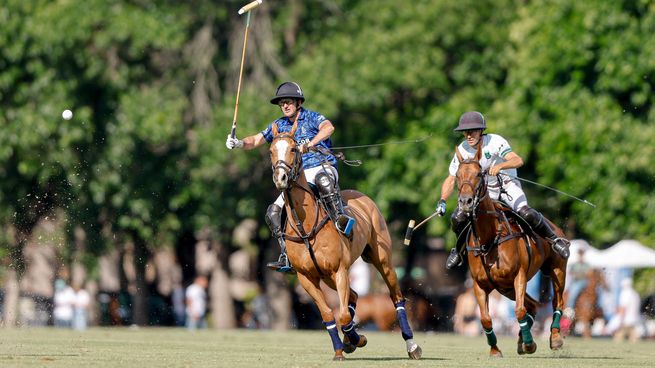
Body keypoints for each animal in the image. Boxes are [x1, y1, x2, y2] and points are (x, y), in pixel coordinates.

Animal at [270, 121, 422, 360]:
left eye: (294, 149)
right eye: (271, 151)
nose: (280, 178)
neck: (305, 226)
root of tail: (363, 197)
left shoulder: (339, 269)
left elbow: (342, 316)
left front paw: (356, 339)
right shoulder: (306, 277)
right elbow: (328, 315)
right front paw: (342, 348)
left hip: (382, 260)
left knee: (396, 297)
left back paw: (412, 346)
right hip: (327, 277)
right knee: (355, 295)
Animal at [456, 144, 568, 356]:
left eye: (479, 174)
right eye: (457, 175)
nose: (465, 202)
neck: (489, 239)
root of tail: (556, 227)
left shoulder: (519, 275)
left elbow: (519, 310)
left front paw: (530, 344)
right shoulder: (479, 285)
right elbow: (485, 318)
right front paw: (495, 350)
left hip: (557, 269)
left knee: (557, 303)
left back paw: (555, 338)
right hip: (504, 287)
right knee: (533, 306)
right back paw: (521, 341)